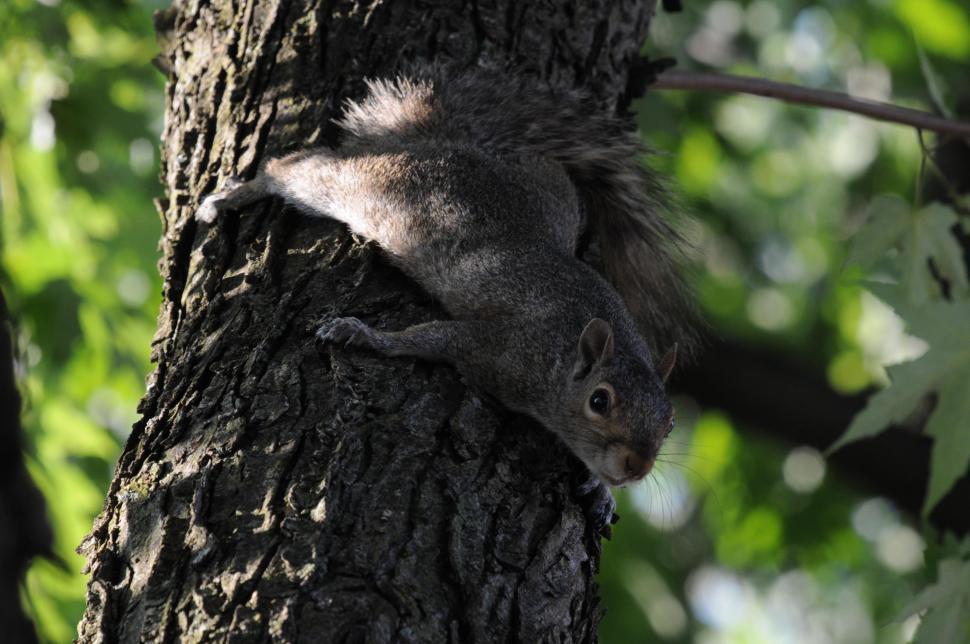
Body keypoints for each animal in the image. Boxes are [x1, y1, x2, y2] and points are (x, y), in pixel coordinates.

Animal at [196, 67, 695, 512]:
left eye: (670, 422)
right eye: (599, 401)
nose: (636, 467)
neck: (561, 356)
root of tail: (442, 144)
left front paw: (602, 491)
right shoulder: (499, 347)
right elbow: (429, 337)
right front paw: (362, 335)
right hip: (368, 188)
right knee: (297, 168)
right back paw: (230, 196)